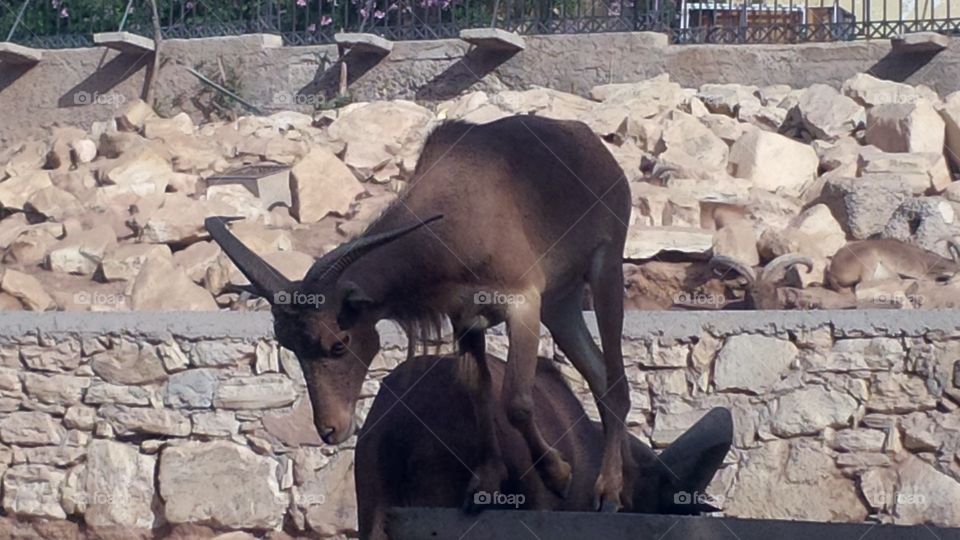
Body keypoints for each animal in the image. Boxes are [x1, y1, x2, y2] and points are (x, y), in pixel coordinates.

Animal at [205, 114, 633, 511]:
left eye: (339, 343)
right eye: (290, 347)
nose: (330, 430)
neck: (454, 222)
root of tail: (592, 144)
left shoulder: (523, 300)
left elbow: (516, 401)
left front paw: (558, 474)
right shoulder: (464, 318)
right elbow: (477, 389)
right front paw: (486, 483)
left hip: (606, 265)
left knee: (615, 381)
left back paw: (610, 492)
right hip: (562, 304)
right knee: (598, 375)